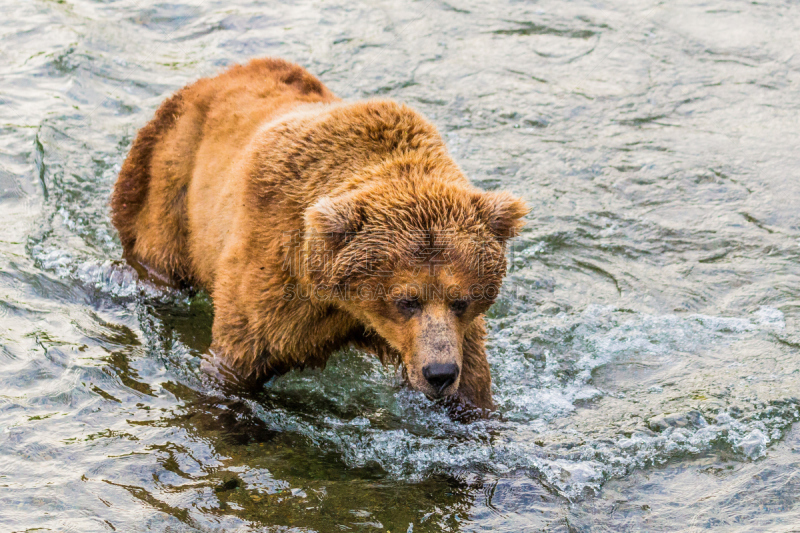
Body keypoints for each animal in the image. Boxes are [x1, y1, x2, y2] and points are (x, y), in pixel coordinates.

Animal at [111, 59, 524, 416]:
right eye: (406, 300)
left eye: (461, 300)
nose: (439, 373)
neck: (349, 306)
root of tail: (213, 79)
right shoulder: (279, 274)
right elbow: (238, 359)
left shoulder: (453, 337)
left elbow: (472, 388)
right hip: (169, 180)